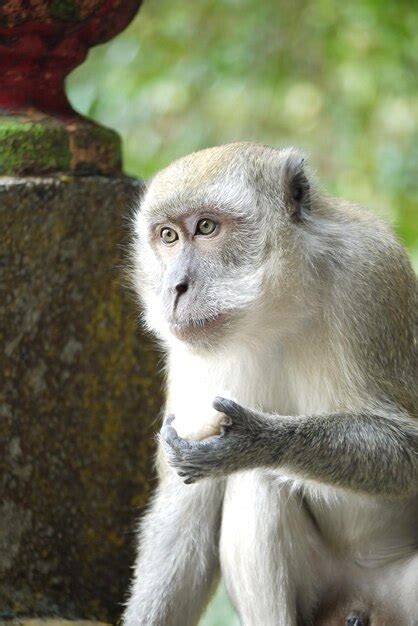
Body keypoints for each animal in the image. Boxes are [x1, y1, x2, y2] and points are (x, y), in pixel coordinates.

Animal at [122, 143, 416, 624]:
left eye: (206, 227)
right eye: (168, 236)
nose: (175, 288)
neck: (278, 306)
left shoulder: (369, 274)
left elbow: (409, 450)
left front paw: (257, 440)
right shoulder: (187, 350)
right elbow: (187, 512)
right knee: (257, 487)